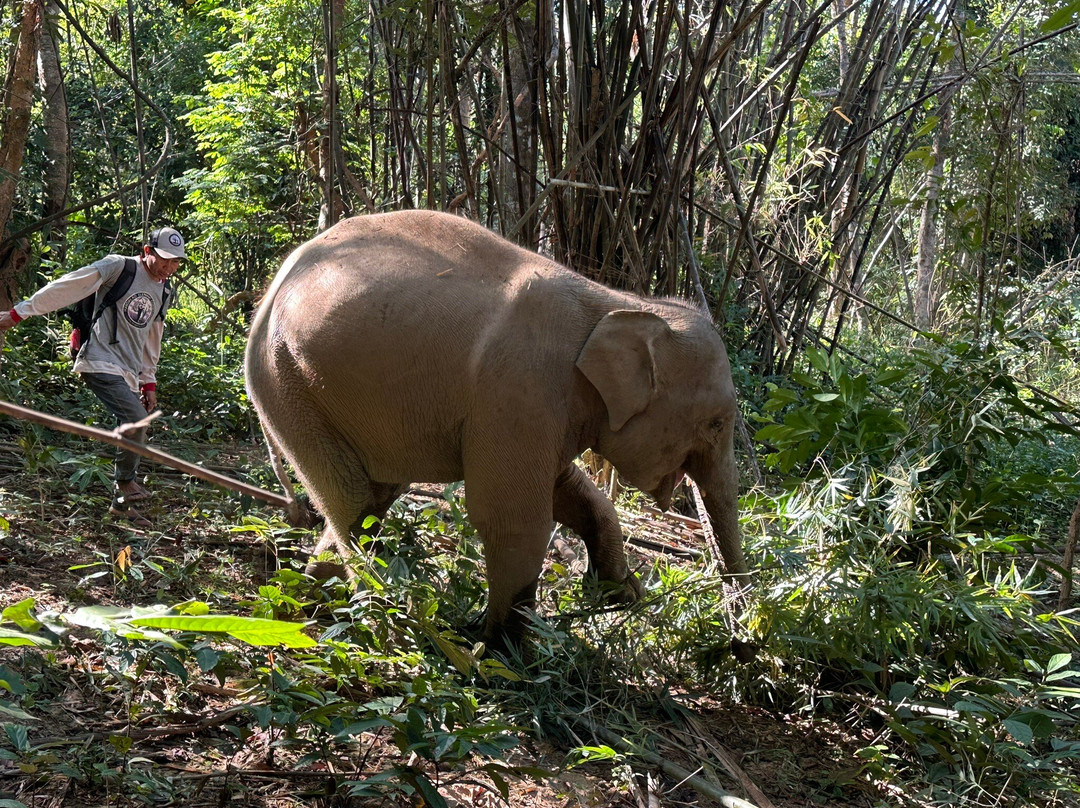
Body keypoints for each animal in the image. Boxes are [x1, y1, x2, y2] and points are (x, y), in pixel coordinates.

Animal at [245, 210, 747, 643]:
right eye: (717, 423)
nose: (742, 641)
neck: (621, 304)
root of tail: (271, 290)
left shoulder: (544, 411)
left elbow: (570, 491)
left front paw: (620, 593)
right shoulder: (519, 390)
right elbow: (513, 516)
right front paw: (504, 648)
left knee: (374, 495)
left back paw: (309, 598)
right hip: (288, 384)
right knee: (353, 503)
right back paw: (387, 616)